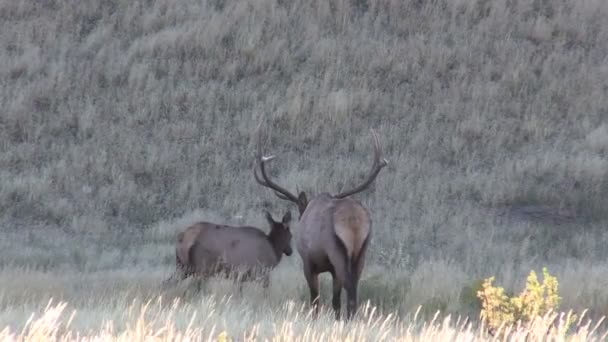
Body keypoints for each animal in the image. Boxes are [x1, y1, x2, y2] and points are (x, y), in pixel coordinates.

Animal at [253, 127, 388, 320]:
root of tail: (354, 220)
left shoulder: (308, 262)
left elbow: (315, 300)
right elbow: (334, 302)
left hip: (337, 251)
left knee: (349, 289)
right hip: (362, 251)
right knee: (353, 291)